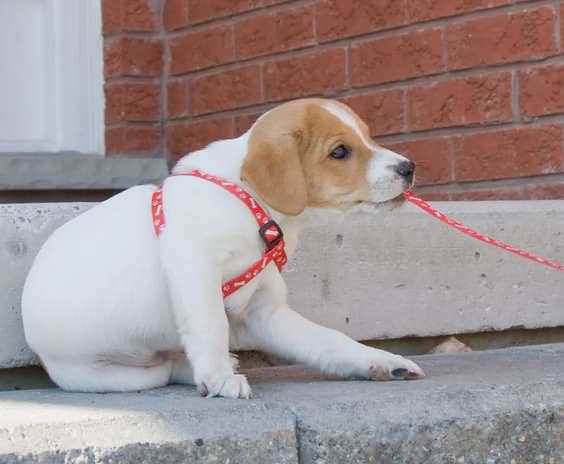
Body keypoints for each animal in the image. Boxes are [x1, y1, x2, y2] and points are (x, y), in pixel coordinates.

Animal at [23, 98, 424, 398]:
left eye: (369, 137)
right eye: (340, 152)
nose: (408, 167)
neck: (248, 202)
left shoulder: (265, 311)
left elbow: (328, 339)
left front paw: (380, 361)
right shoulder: (195, 269)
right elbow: (212, 325)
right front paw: (218, 378)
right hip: (113, 374)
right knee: (162, 370)